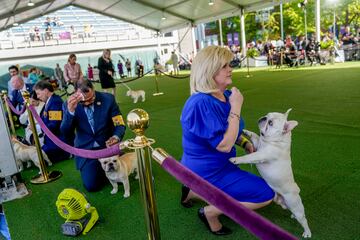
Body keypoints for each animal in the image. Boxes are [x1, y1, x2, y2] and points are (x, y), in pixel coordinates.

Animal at [231, 109, 312, 238]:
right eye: (268, 115)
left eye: (270, 123)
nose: (264, 118)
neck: (275, 141)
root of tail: (296, 190)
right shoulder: (258, 144)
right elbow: (255, 135)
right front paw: (246, 131)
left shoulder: (261, 155)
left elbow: (248, 157)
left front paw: (235, 159)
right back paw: (293, 216)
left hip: (294, 204)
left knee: (303, 219)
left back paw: (307, 232)